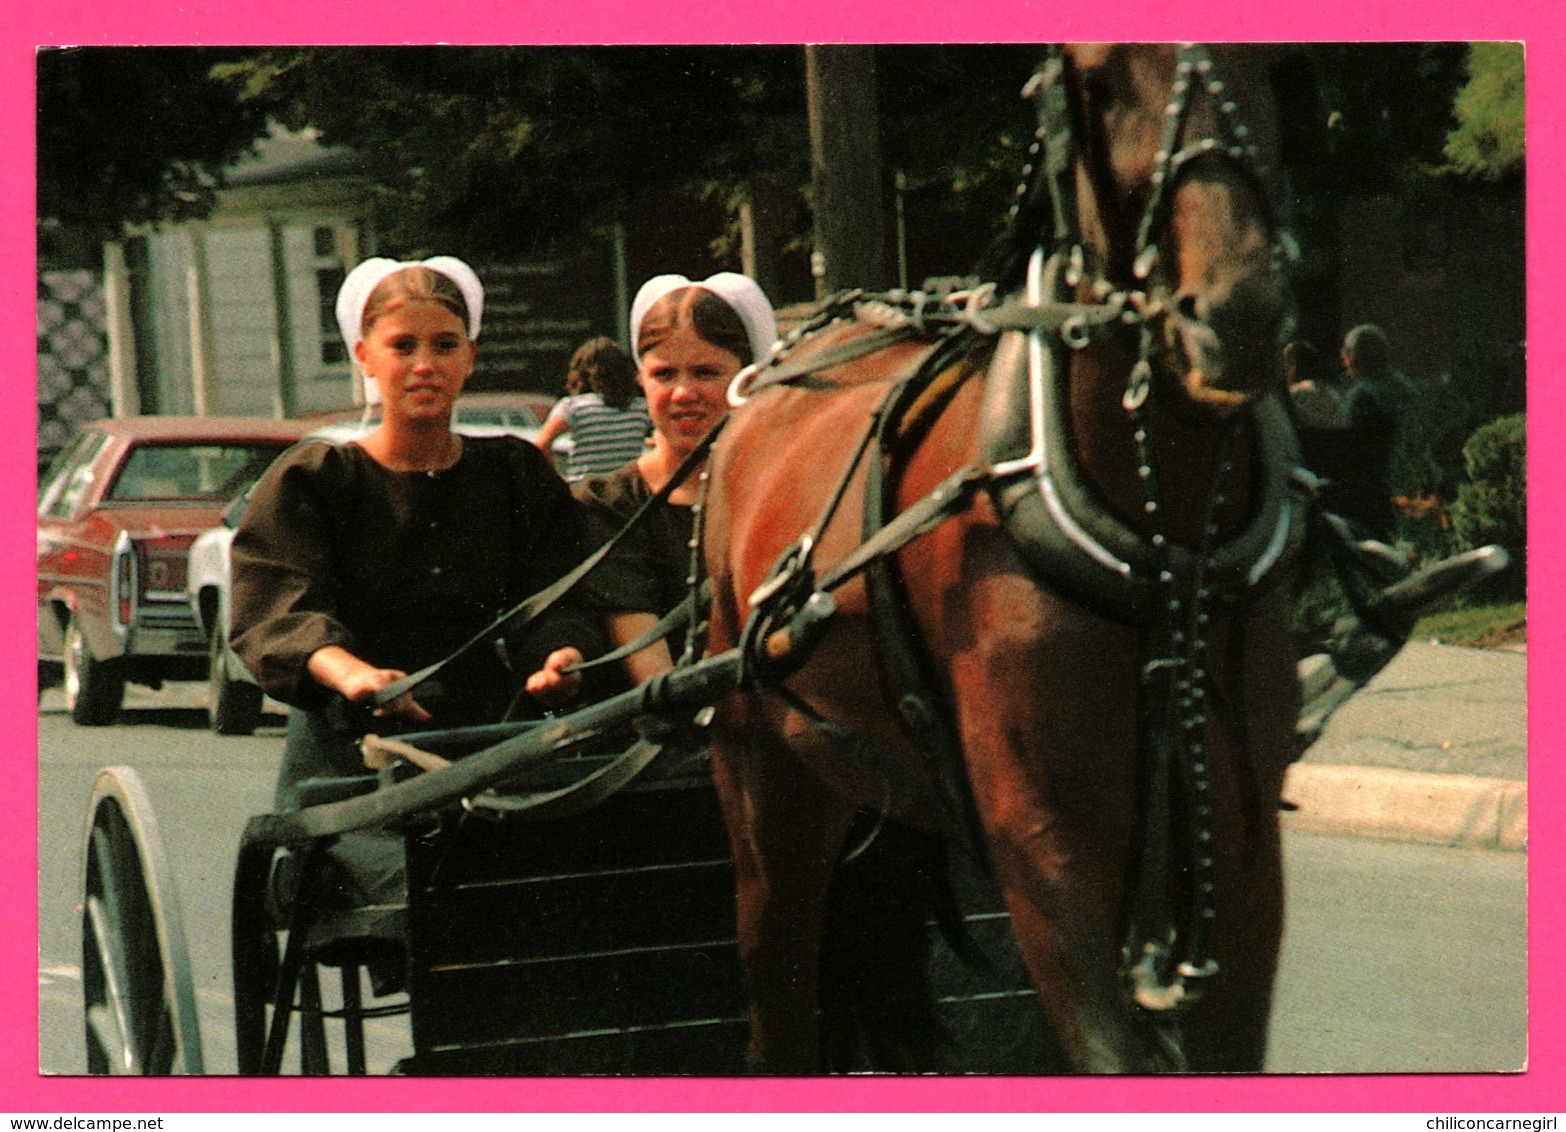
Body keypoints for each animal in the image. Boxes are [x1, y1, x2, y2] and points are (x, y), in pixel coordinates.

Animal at [704, 44, 1302, 1070]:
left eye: (1271, 64)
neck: (1156, 546)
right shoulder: (1043, 836)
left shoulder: (1240, 831)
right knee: (776, 990)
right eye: (1099, 80)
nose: (1236, 313)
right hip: (765, 782)